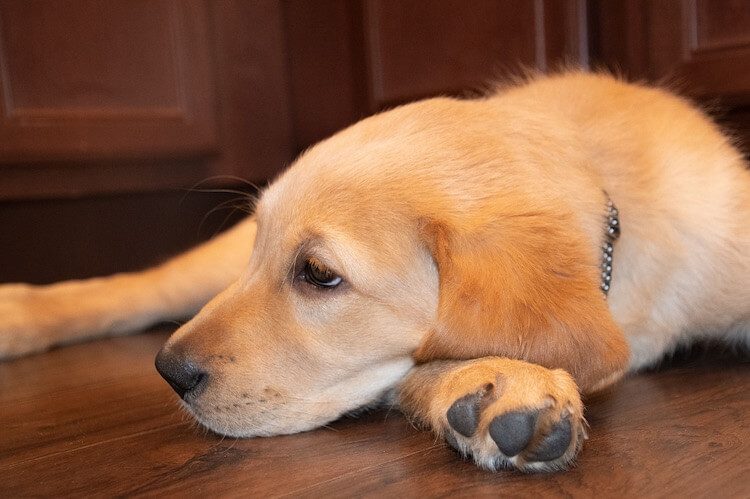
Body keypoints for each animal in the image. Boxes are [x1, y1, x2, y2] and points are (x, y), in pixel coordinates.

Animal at [1, 71, 750, 472]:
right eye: (286, 261)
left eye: (317, 274)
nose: (170, 372)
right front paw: (495, 383)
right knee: (138, 288)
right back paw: (19, 314)